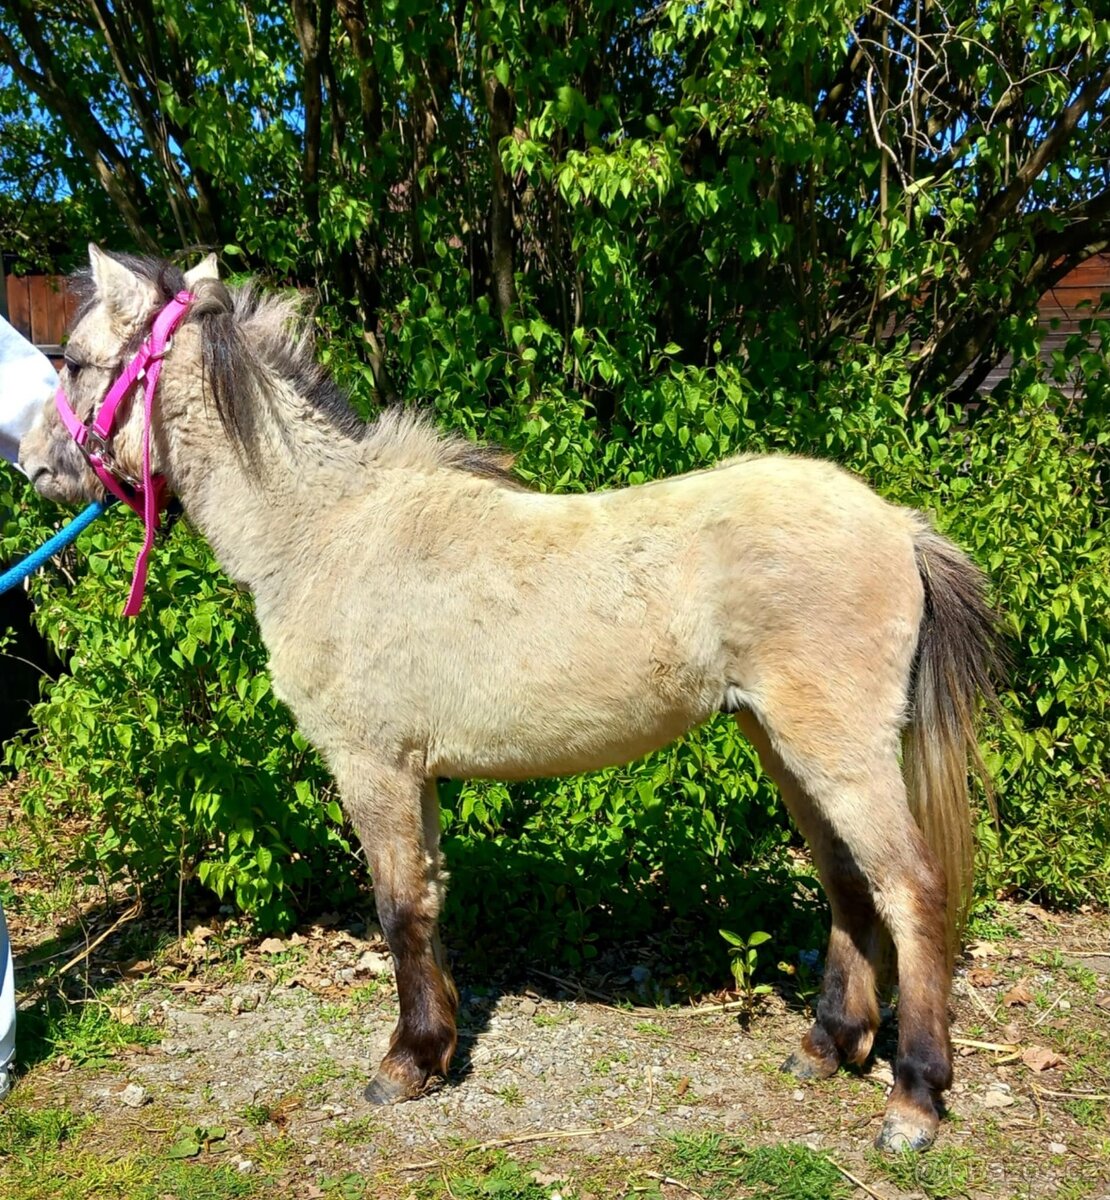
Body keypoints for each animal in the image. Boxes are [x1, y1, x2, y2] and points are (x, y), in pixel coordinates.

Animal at [19, 246, 1002, 1152]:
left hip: (839, 751)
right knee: (847, 883)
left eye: (75, 362)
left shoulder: (370, 766)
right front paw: (435, 1049)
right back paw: (830, 1044)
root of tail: (898, 525)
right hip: (785, 744)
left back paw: (914, 1099)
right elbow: (427, 899)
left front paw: (404, 1064)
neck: (327, 530)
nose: (31, 466)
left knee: (911, 890)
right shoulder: (413, 774)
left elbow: (396, 906)